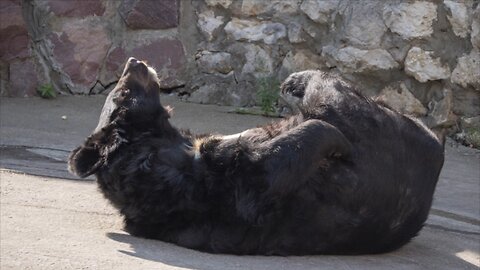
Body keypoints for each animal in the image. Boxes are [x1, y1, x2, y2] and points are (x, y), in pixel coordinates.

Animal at [68, 57, 446, 255]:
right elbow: (270, 165)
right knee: (332, 97)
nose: (134, 61)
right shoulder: (222, 183)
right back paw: (301, 84)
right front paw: (331, 136)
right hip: (384, 129)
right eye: (122, 90)